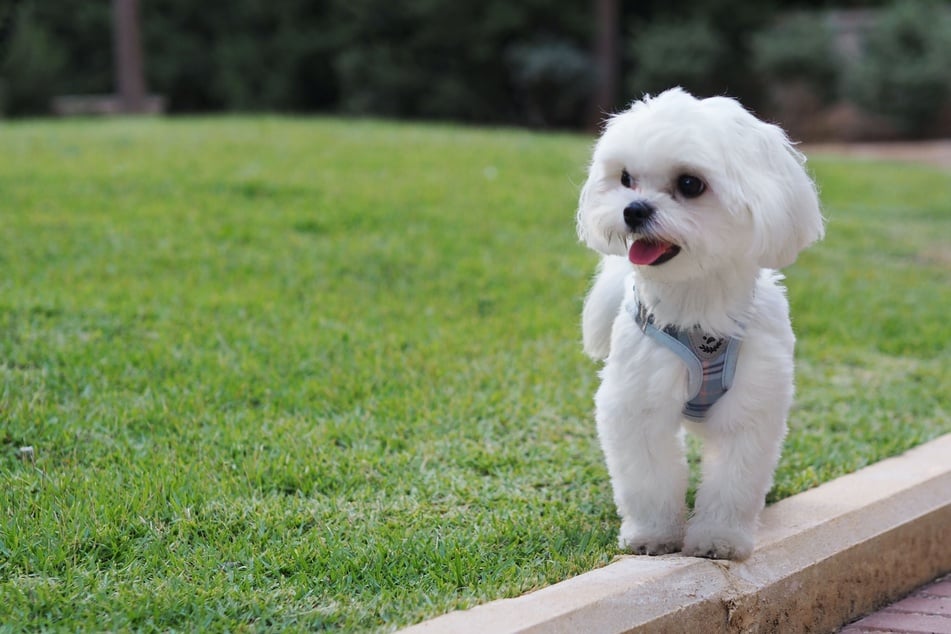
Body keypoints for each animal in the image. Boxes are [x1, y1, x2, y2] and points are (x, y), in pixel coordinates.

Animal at [576, 87, 820, 556]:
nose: (633, 210)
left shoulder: (750, 406)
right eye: (625, 178)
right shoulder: (638, 400)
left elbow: (734, 480)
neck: (697, 303)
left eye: (690, 184)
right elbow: (648, 476)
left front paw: (719, 539)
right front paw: (653, 534)